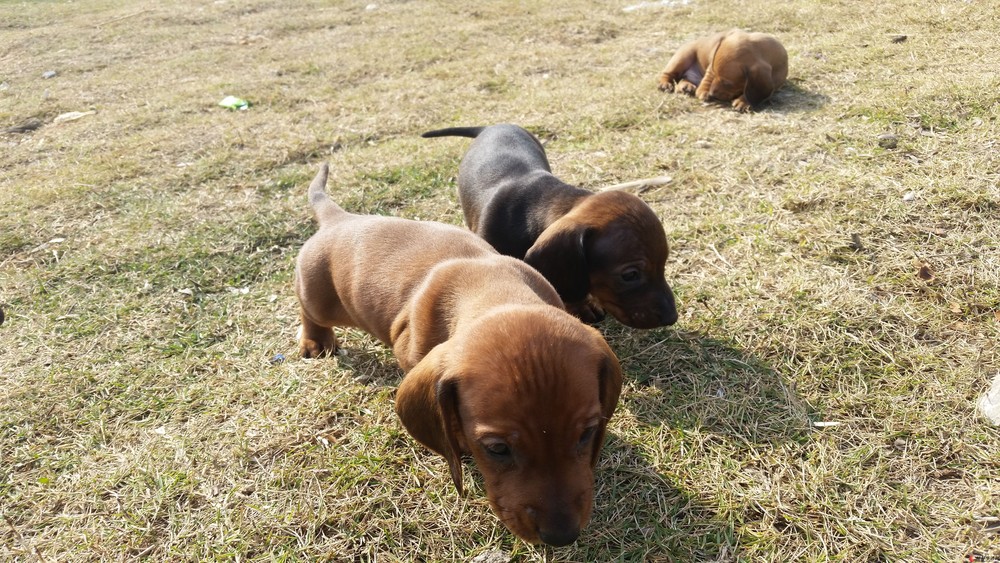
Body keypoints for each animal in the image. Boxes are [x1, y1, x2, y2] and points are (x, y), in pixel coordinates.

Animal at [292, 162, 620, 548]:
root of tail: (338, 218)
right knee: (307, 307)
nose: (562, 536)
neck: (494, 289)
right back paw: (314, 340)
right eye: (497, 449)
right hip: (320, 299)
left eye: (587, 433)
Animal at [656, 28, 788, 112]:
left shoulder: (774, 86)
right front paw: (704, 92)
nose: (711, 94)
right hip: (683, 56)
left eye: (728, 83)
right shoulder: (711, 68)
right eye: (715, 74)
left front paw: (744, 101)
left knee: (684, 79)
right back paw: (665, 84)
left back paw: (686, 86)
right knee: (667, 74)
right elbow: (707, 80)